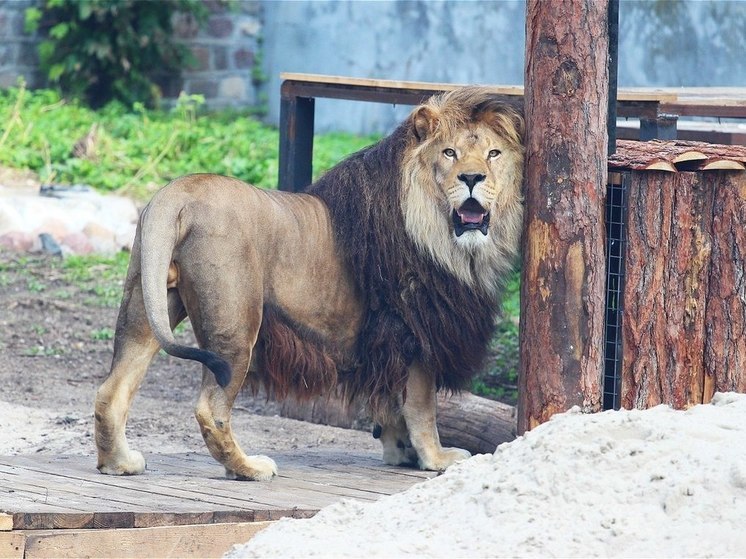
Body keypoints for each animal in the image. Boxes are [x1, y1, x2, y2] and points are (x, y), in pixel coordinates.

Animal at [94, 88, 524, 482]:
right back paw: (248, 468)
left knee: (112, 389)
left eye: (493, 154)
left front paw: (399, 450)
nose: (472, 178)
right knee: (210, 408)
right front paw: (436, 458)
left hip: (146, 303)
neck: (443, 233)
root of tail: (177, 193)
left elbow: (390, 402)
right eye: (449, 153)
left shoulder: (386, 339)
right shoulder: (417, 330)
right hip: (234, 326)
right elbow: (422, 406)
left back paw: (120, 463)